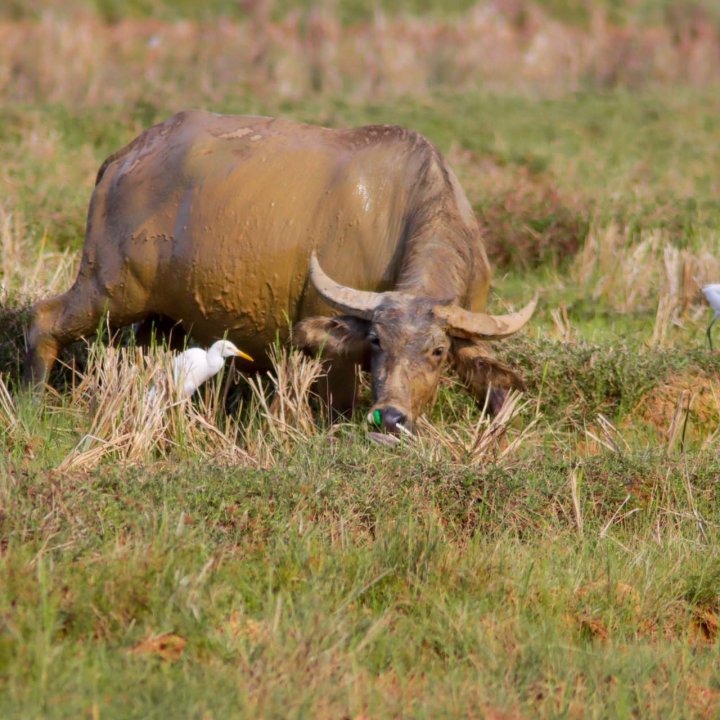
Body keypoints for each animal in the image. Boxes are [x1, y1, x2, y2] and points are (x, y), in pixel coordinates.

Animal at [23, 109, 536, 430]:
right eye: (376, 341)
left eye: (437, 351)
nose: (391, 418)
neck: (401, 210)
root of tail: (123, 159)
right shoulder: (330, 351)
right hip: (109, 287)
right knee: (43, 321)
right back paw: (33, 402)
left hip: (161, 318)